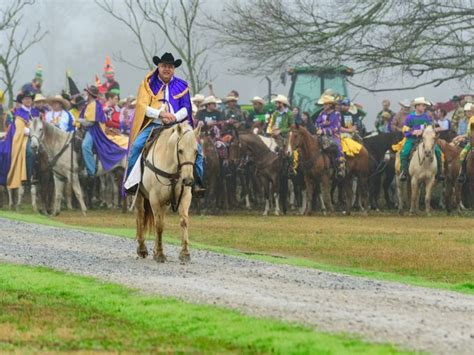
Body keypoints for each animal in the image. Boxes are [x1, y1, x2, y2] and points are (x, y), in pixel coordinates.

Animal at [135, 123, 200, 264]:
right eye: (180, 150)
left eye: (196, 152)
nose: (188, 180)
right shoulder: (154, 198)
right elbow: (159, 225)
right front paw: (160, 254)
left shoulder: (185, 196)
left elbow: (183, 221)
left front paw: (185, 253)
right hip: (139, 195)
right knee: (141, 215)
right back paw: (142, 249)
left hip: (164, 203)